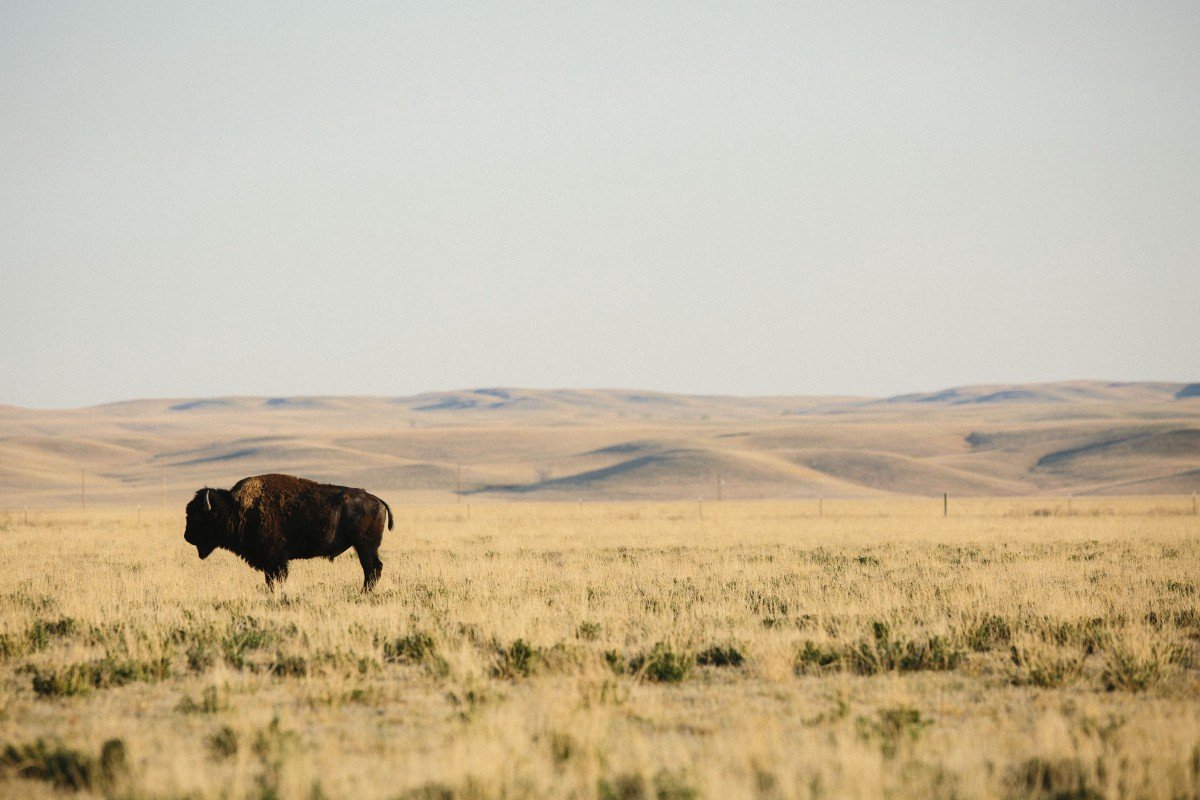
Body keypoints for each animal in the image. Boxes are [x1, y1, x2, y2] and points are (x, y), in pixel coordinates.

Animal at [182, 472, 391, 592]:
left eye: (198, 517)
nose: (187, 536)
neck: (235, 508)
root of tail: (377, 500)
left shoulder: (275, 559)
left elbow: (276, 578)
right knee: (372, 569)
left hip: (365, 546)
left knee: (373, 568)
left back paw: (364, 592)